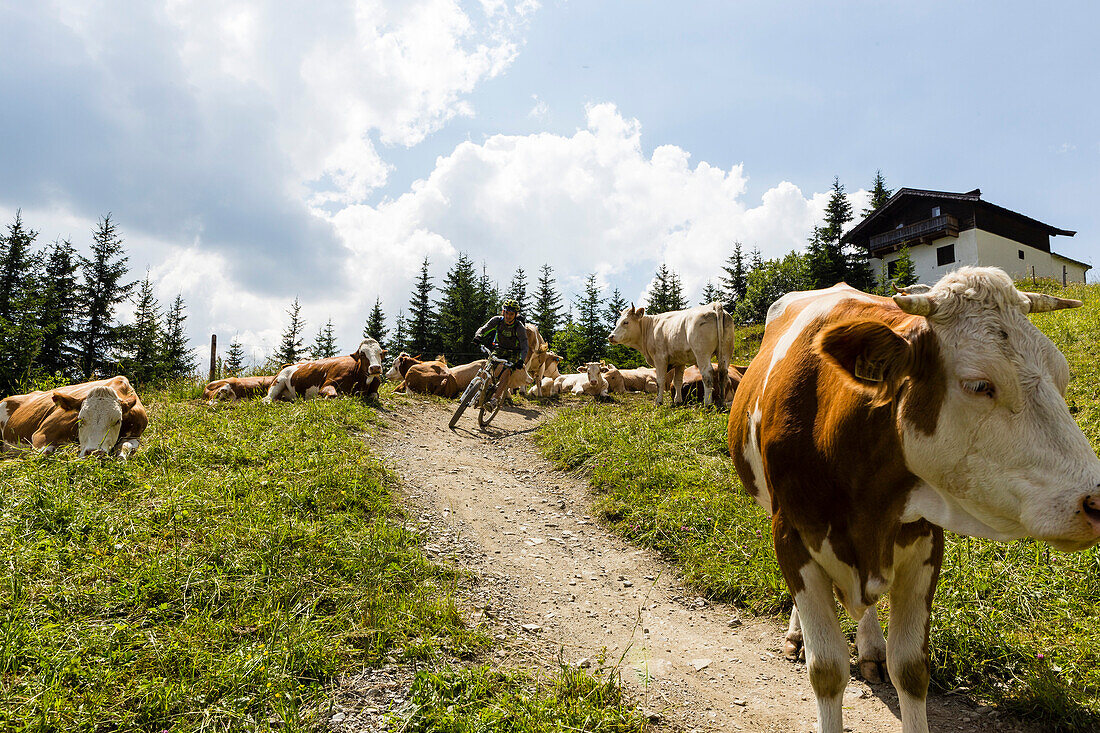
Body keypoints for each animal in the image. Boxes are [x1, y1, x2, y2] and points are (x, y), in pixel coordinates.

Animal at [0, 376, 148, 457]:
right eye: (80, 419)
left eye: (117, 421)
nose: (94, 452)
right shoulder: (42, 433)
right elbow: (44, 454)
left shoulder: (134, 436)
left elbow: (124, 450)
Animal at [721, 267, 1100, 730]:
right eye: (979, 384)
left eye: (1062, 377)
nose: (1096, 502)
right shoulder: (791, 534)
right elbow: (826, 669)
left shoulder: (924, 542)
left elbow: (911, 668)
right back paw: (798, 633)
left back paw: (870, 647)